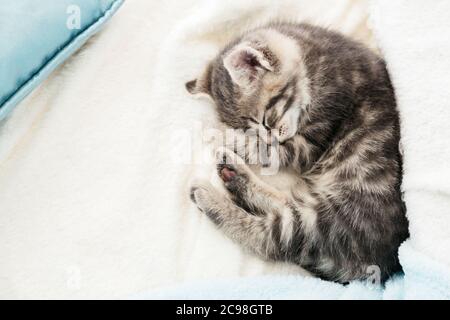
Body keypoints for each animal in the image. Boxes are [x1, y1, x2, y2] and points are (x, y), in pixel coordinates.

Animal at [185, 21, 410, 282]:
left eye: (265, 121)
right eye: (250, 127)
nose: (271, 135)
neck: (310, 61)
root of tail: (387, 265)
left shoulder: (312, 141)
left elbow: (270, 151)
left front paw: (218, 132)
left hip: (334, 221)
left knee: (269, 239)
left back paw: (210, 198)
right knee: (283, 206)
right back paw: (233, 173)